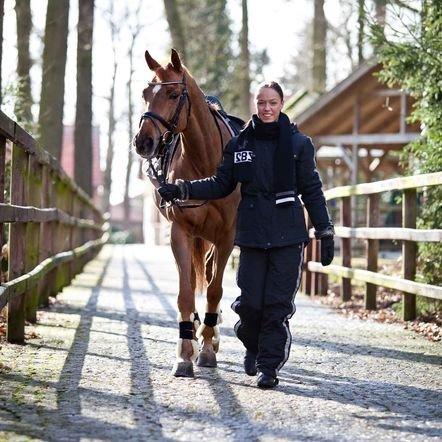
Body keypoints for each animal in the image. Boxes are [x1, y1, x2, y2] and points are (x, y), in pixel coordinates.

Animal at [133, 50, 240, 378]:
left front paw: (207, 348)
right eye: (145, 94)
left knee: (209, 278)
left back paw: (210, 334)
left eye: (173, 94)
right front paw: (184, 352)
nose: (143, 142)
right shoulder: (180, 232)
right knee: (193, 280)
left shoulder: (226, 236)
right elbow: (185, 291)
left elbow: (215, 290)